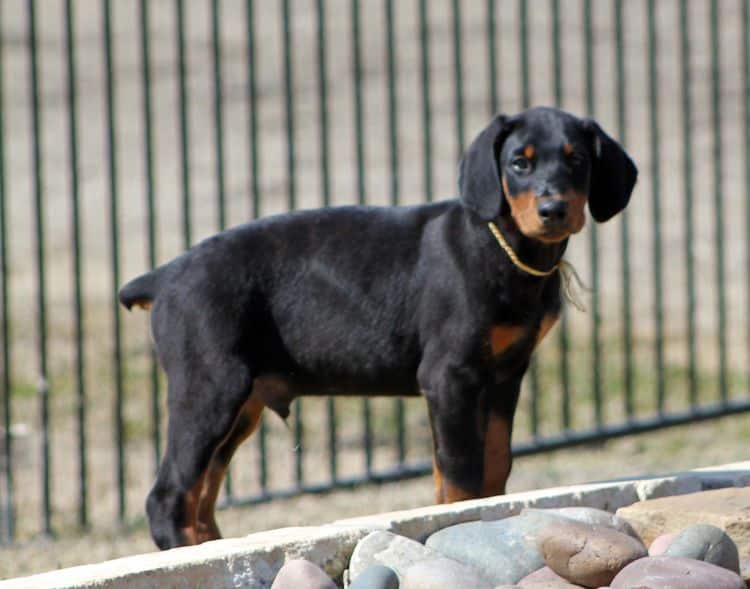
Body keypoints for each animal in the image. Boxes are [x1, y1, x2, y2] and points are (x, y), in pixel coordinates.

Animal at [120, 104, 636, 548]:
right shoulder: (449, 377)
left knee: (201, 498)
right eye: (518, 163)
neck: (503, 248)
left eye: (577, 160)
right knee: (168, 497)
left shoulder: (506, 375)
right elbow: (460, 477)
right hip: (209, 387)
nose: (553, 211)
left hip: (241, 404)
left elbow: (493, 466)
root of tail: (164, 276)